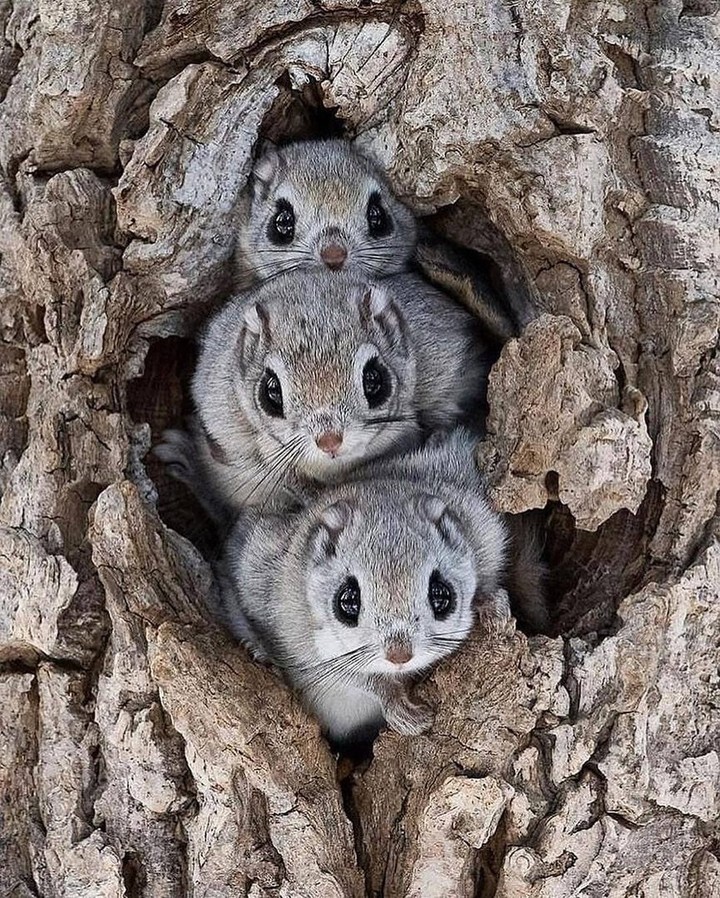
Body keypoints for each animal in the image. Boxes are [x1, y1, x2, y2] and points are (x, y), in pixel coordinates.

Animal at [217, 428, 536, 746]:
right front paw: (405, 712)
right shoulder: (294, 636)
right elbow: (361, 677)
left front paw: (493, 608)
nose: (399, 656)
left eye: (442, 595)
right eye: (347, 602)